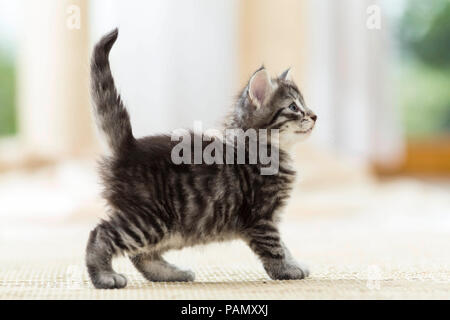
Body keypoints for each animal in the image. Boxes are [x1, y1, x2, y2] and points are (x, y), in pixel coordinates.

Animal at [85, 29, 316, 290]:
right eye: (294, 107)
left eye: (305, 105)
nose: (314, 116)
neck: (264, 150)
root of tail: (129, 147)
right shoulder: (261, 217)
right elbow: (274, 248)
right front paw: (286, 270)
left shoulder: (270, 217)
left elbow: (284, 246)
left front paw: (294, 263)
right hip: (150, 219)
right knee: (101, 234)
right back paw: (104, 276)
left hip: (168, 229)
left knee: (141, 255)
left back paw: (172, 274)